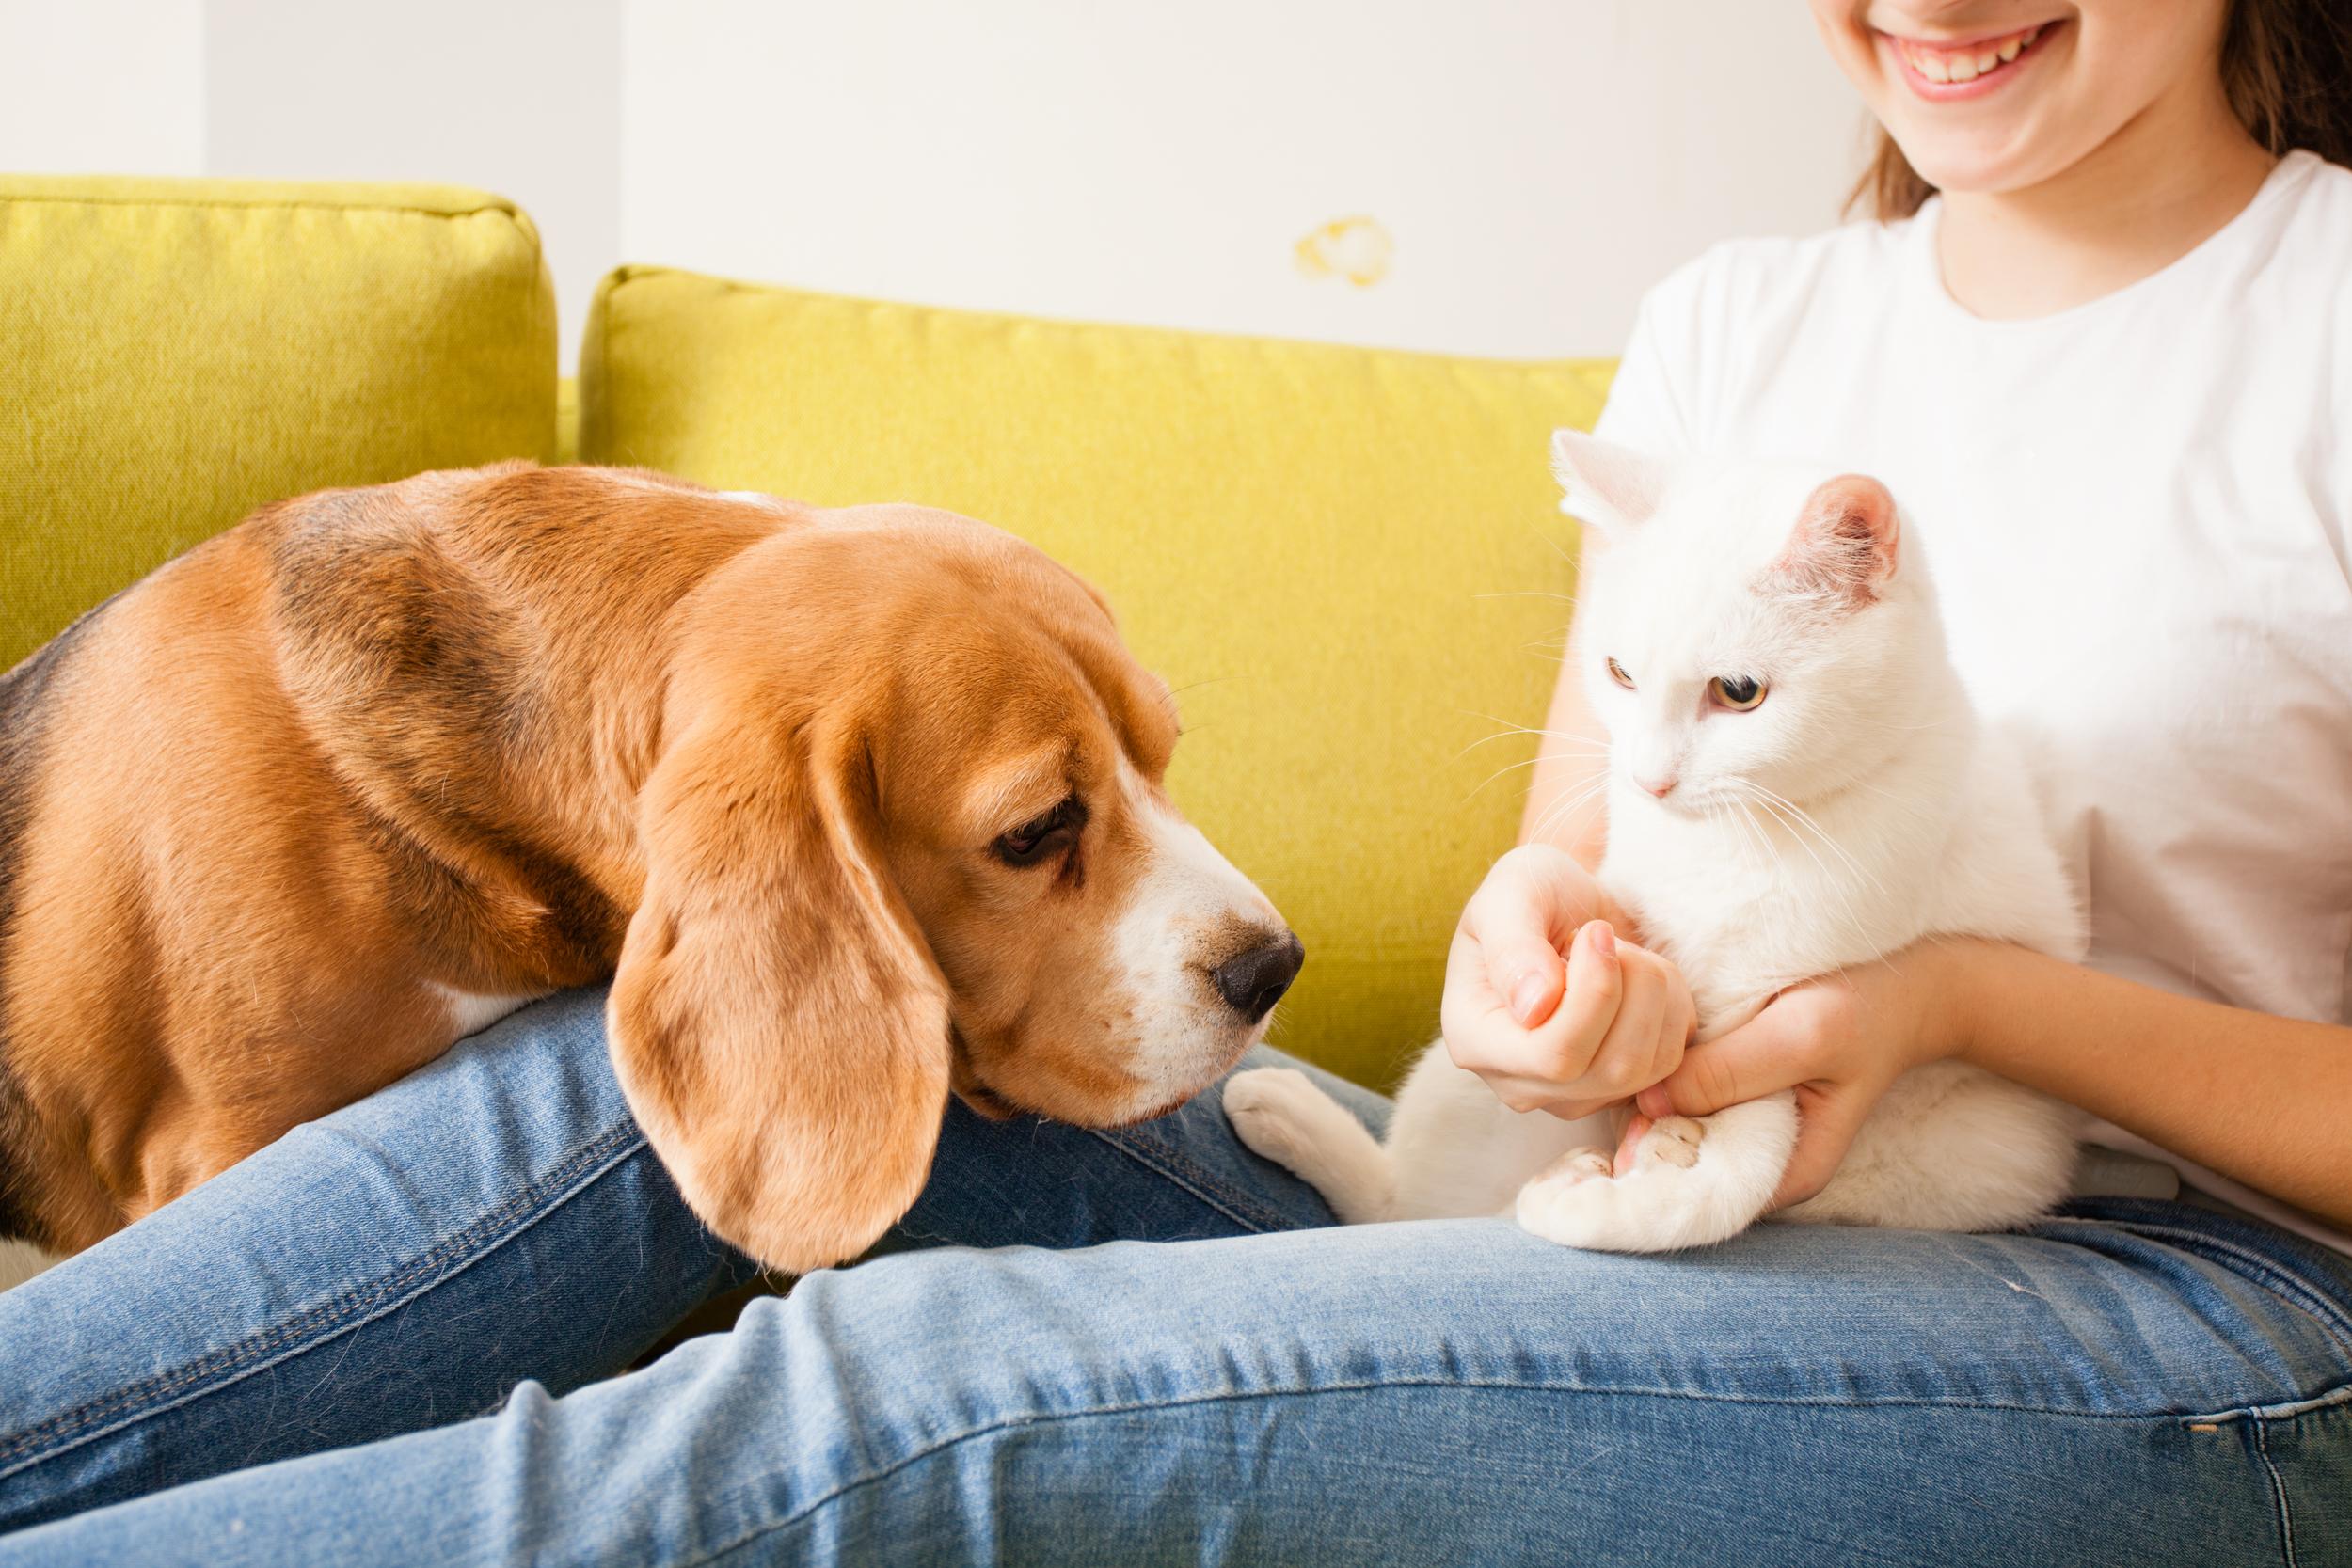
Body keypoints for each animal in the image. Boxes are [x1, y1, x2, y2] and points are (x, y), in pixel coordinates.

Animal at [1223, 435, 2089, 1259]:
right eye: (1620, 673)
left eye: (1738, 692)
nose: (1648, 779)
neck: (1738, 839)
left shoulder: (1779, 1022)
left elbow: (1740, 1172)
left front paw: (1619, 1203)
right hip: (1457, 1087)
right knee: (1405, 1204)